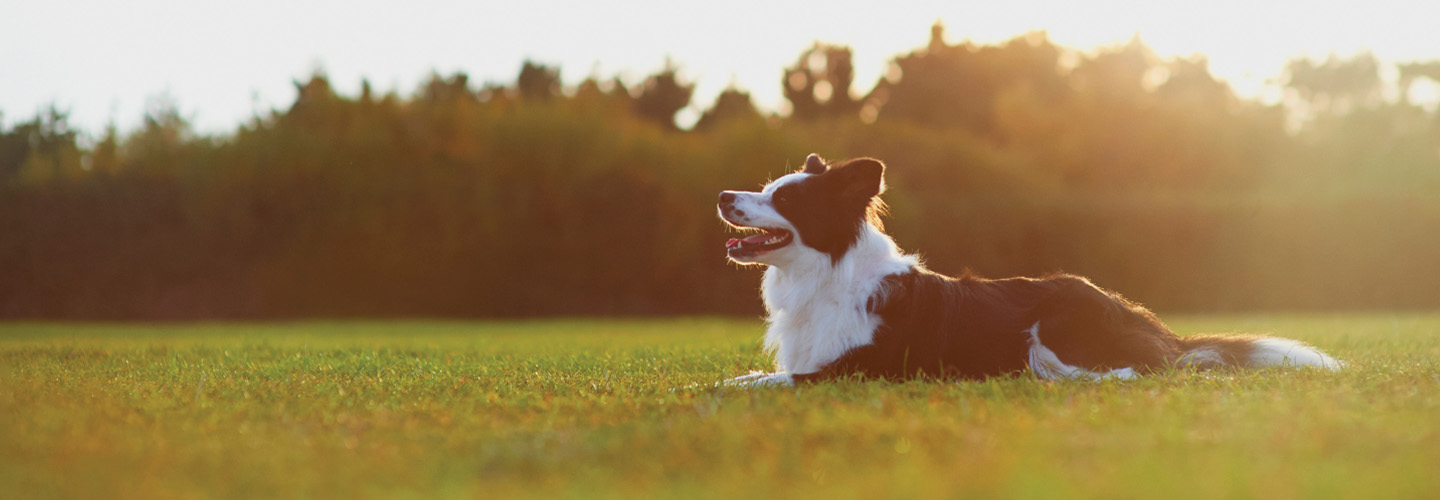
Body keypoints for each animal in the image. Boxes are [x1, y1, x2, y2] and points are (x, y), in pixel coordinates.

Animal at [717, 153, 1336, 389]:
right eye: (766, 189)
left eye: (786, 200)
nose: (723, 195)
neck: (826, 276)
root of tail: (1149, 325)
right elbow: (744, 377)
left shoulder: (857, 371)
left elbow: (771, 382)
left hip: (1060, 323)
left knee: (1133, 373)